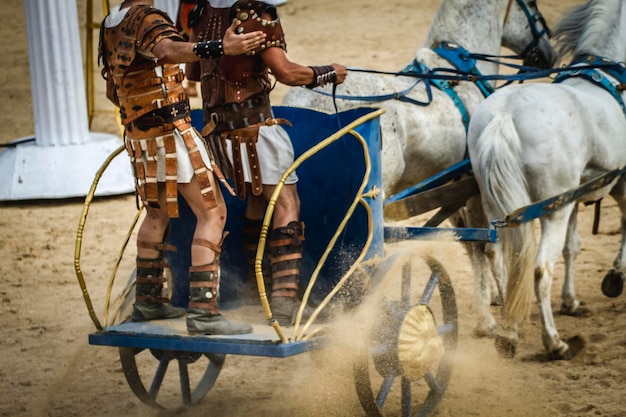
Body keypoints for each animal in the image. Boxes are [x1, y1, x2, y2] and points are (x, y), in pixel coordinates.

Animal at [282, 0, 552, 336]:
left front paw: (496, 298)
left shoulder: (454, 185)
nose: (549, 51)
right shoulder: (474, 182)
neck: (458, 71)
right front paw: (492, 315)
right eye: (532, 5)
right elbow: (484, 244)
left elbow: (472, 242)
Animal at [466, 0, 624, 360]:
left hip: (500, 207)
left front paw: (572, 301)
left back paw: (508, 330)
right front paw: (615, 277)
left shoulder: (578, 194)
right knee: (540, 270)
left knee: (502, 257)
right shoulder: (619, 184)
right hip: (553, 210)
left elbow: (573, 245)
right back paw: (554, 342)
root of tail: (504, 116)